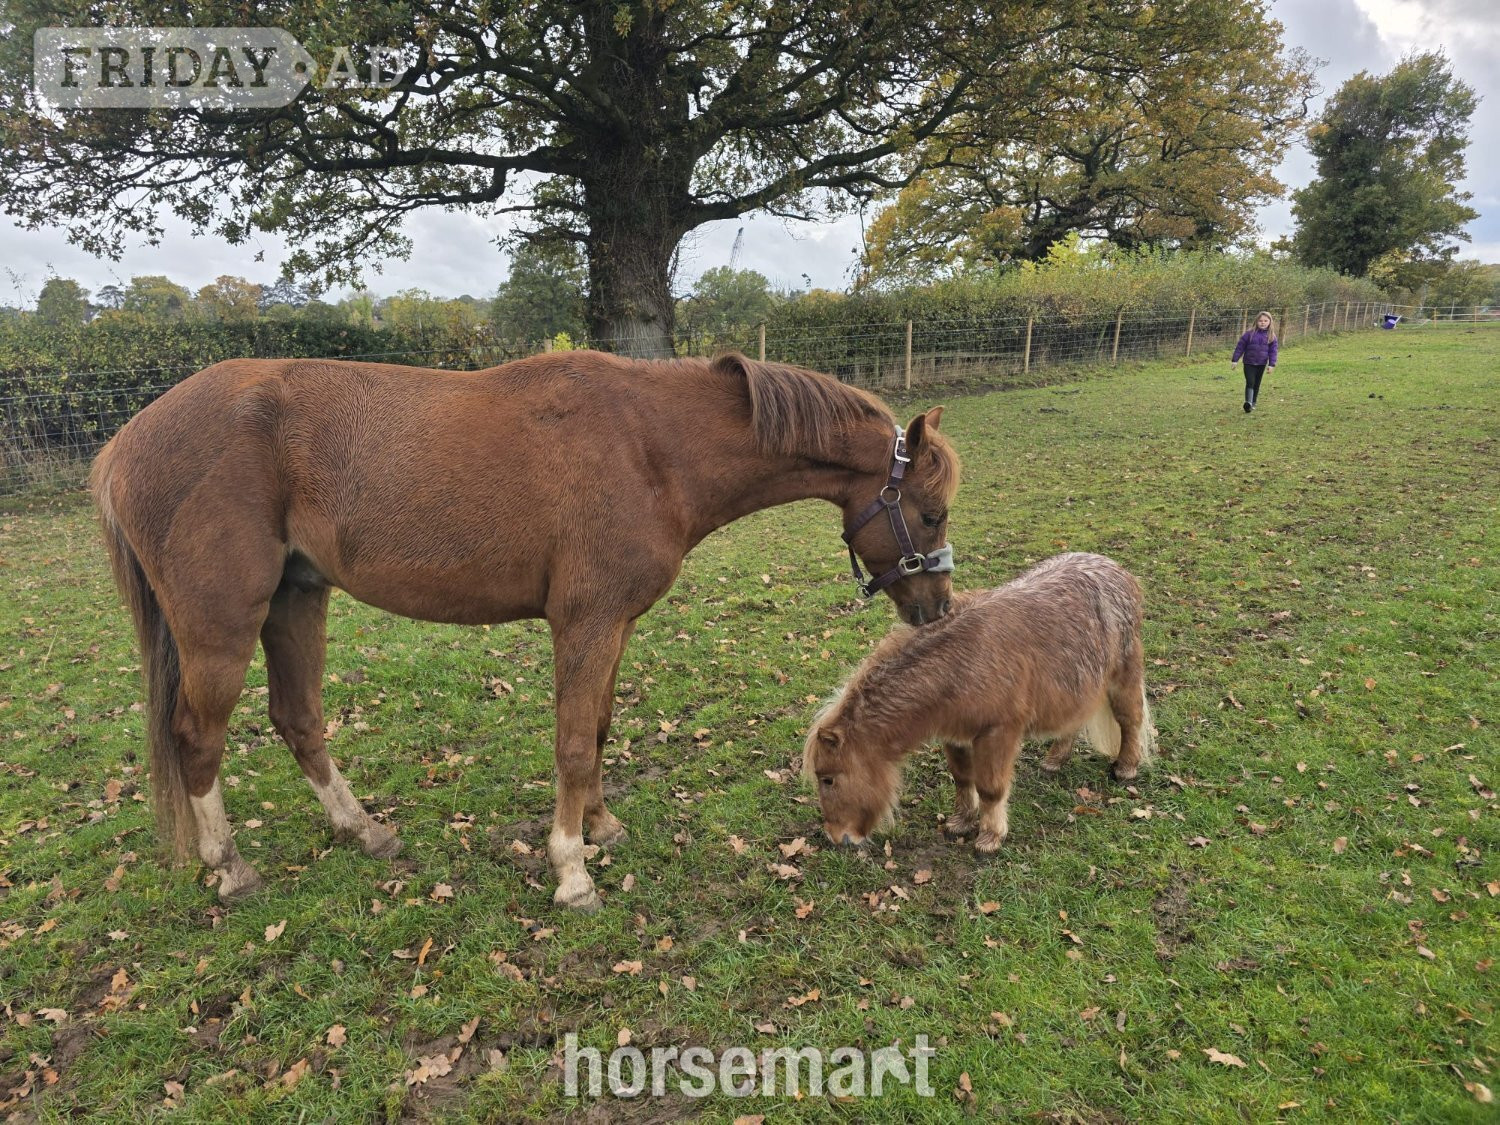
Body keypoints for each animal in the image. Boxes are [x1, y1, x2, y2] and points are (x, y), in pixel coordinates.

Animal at [90, 350, 960, 910]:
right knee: (197, 739)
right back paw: (229, 866)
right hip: (221, 627)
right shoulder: (586, 622)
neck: (651, 444)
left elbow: (599, 727)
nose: (940, 609)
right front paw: (571, 868)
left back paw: (364, 831)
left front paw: (601, 825)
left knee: (298, 720)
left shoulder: (613, 625)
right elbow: (573, 742)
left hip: (296, 601)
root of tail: (125, 441)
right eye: (930, 512)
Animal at [802, 553, 1154, 852]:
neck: (960, 667)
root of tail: (1116, 570)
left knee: (1130, 720)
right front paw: (961, 822)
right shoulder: (955, 736)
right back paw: (1055, 760)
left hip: (1123, 676)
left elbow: (990, 787)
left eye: (828, 778)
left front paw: (990, 837)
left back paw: (1126, 767)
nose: (835, 837)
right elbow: (962, 779)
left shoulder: (998, 732)